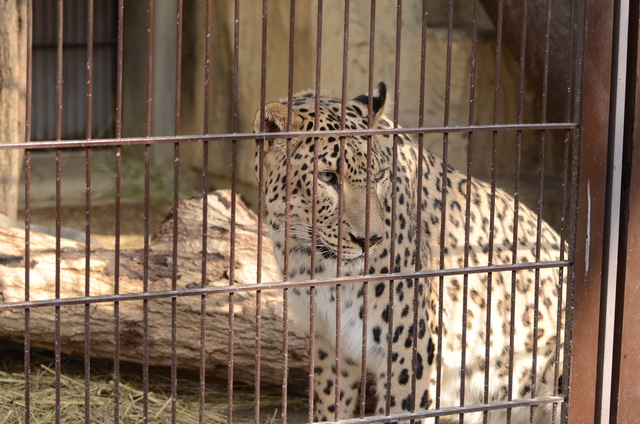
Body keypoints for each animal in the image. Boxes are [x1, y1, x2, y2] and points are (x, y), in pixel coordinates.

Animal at [254, 81, 564, 422]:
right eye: (326, 177)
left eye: (378, 175)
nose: (370, 239)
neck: (316, 264)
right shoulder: (328, 341)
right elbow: (329, 407)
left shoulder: (410, 346)